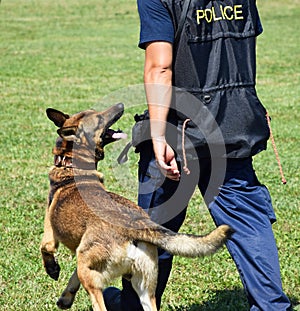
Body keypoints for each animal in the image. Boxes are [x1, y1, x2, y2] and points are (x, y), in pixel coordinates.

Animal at [39, 104, 232, 311]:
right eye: (98, 118)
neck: (71, 167)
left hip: (91, 275)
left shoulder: (52, 235)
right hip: (143, 286)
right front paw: (66, 297)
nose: (120, 105)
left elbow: (46, 248)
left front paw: (52, 270)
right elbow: (73, 276)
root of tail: (136, 226)